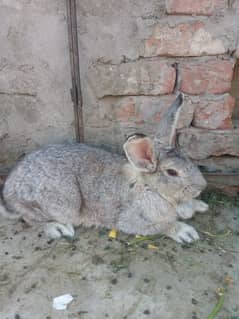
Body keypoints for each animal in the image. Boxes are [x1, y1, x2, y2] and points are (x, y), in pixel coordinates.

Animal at [0, 94, 207, 244]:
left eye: (187, 157)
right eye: (172, 172)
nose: (202, 186)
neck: (151, 188)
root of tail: (9, 191)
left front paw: (200, 206)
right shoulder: (132, 221)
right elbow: (163, 226)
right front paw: (185, 232)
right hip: (63, 202)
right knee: (29, 218)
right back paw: (57, 228)